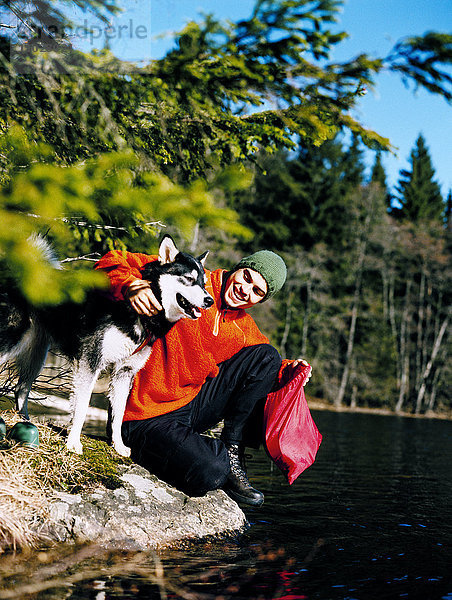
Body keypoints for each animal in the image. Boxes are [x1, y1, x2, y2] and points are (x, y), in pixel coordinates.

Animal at [0, 234, 215, 454]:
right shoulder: (90, 363)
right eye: (189, 279)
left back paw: (25, 421)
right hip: (12, 340)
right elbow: (82, 406)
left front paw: (118, 445)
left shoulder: (124, 372)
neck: (138, 314)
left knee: (21, 389)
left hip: (38, 354)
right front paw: (73, 442)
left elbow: (118, 414)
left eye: (204, 283)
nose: (210, 301)